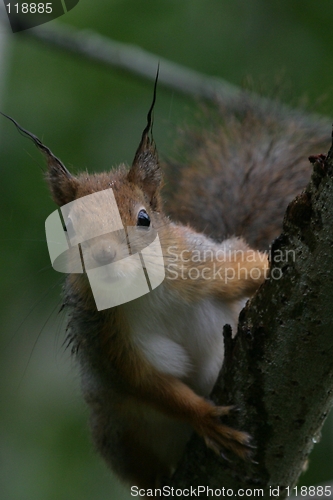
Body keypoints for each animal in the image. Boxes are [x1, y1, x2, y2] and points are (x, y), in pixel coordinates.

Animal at [1, 82, 328, 492]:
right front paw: (206, 419)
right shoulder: (106, 341)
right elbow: (145, 382)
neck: (142, 289)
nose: (105, 256)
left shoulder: (201, 264)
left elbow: (243, 268)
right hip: (121, 436)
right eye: (68, 227)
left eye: (144, 218)